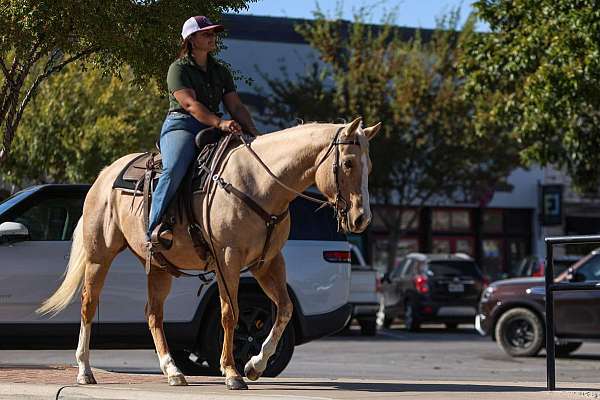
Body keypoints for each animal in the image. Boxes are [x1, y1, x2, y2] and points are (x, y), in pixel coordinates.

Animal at [38, 117, 380, 390]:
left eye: (370, 166)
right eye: (348, 163)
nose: (361, 219)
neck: (259, 184)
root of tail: (104, 174)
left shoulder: (268, 263)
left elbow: (284, 309)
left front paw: (254, 365)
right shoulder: (227, 259)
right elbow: (231, 314)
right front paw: (231, 372)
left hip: (158, 267)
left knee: (153, 313)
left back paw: (172, 370)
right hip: (100, 255)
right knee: (88, 305)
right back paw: (85, 371)